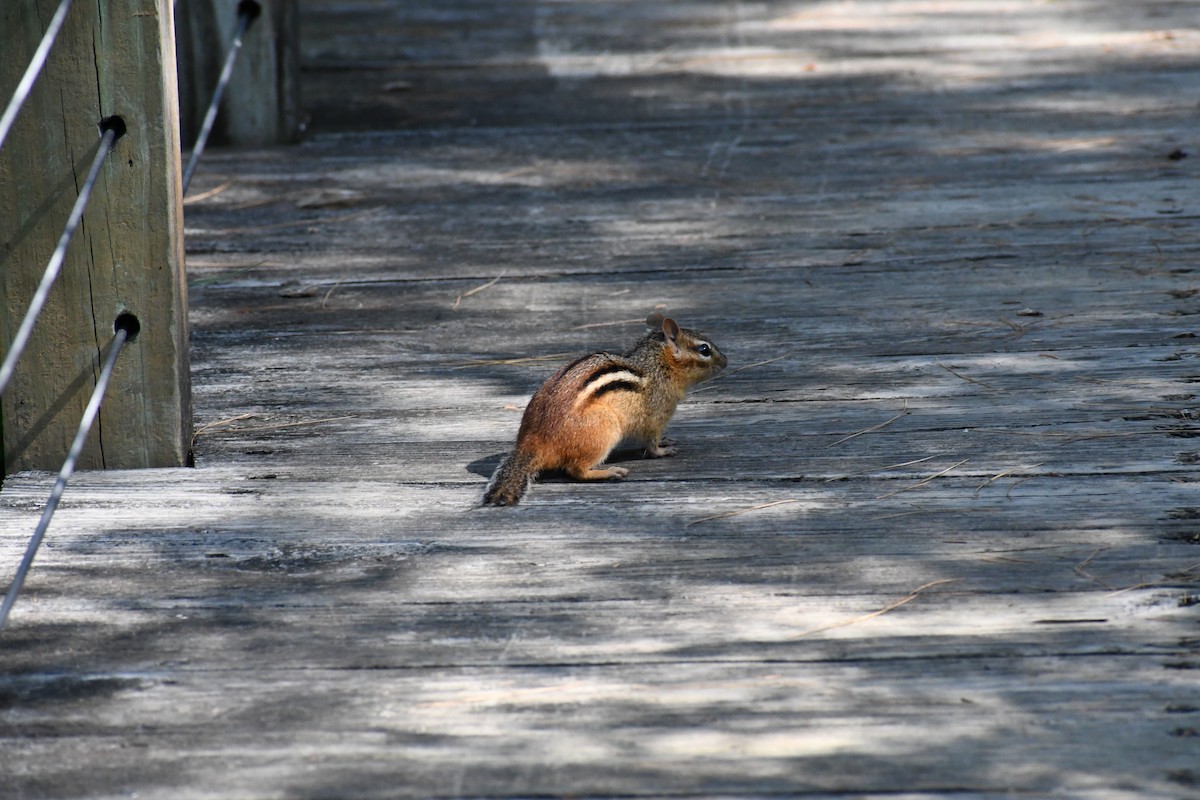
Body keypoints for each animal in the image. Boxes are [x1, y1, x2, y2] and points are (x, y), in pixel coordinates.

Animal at [483, 312, 727, 506]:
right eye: (704, 349)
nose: (726, 361)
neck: (657, 365)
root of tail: (534, 442)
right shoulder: (656, 416)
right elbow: (651, 443)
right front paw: (662, 451)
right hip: (604, 429)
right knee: (576, 470)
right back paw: (610, 472)